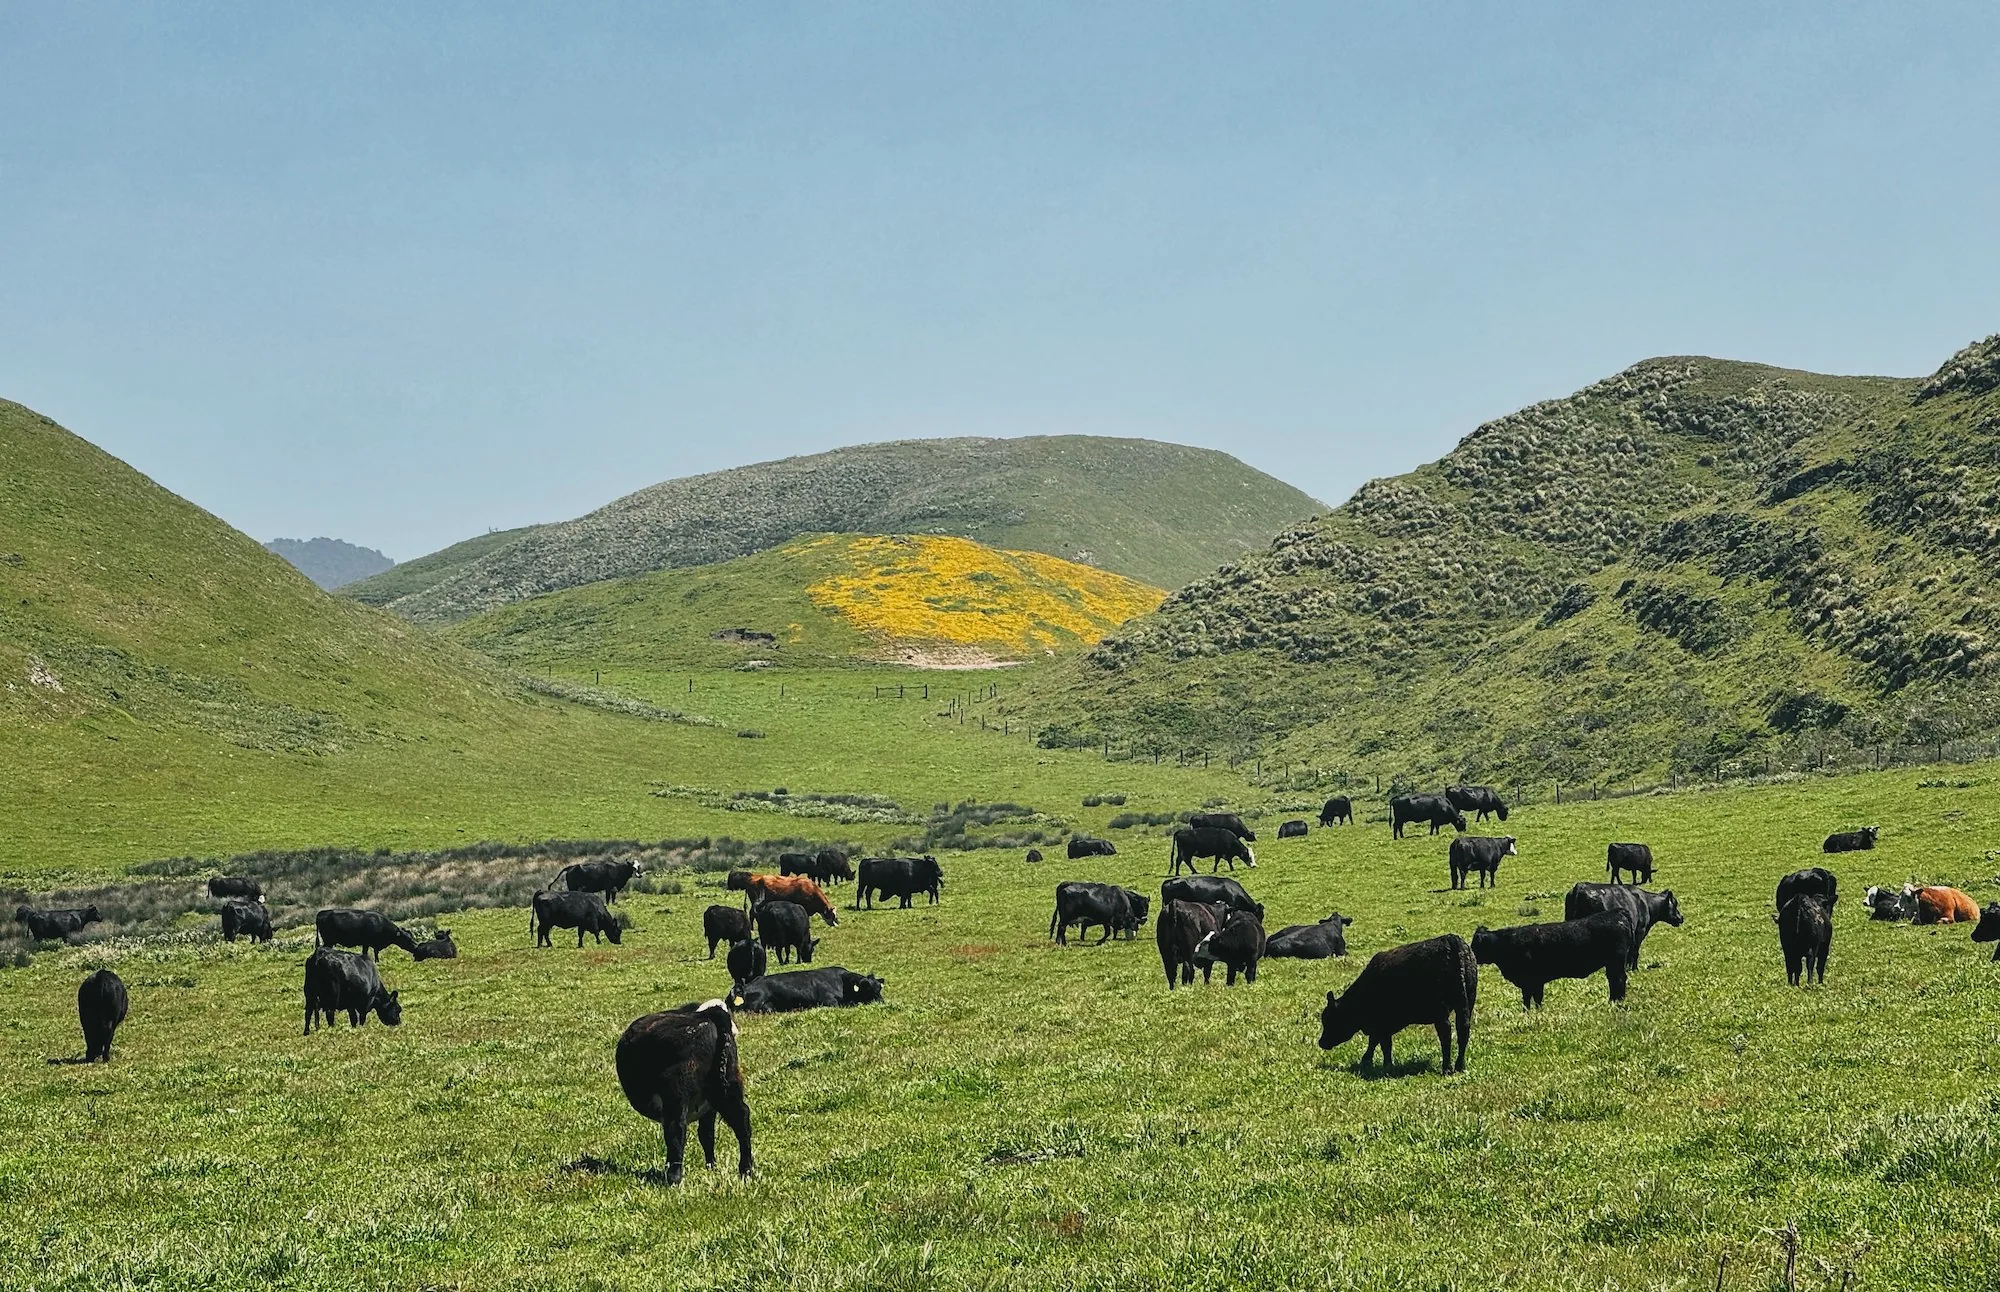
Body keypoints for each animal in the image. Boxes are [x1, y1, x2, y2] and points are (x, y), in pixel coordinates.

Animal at [615, 1001, 753, 1185]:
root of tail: (706, 1015)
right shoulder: (708, 1108)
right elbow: (707, 1135)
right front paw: (711, 1167)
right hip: (727, 1084)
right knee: (740, 1119)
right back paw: (746, 1170)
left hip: (676, 1093)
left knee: (676, 1129)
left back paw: (673, 1177)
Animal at [1318, 933, 1477, 1074]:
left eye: (1330, 1020)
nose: (1321, 1042)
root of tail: (1451, 940)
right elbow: (1379, 1042)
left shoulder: (1381, 1023)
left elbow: (1381, 1044)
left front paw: (1380, 1064)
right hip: (1467, 1001)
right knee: (1463, 1030)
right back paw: (1460, 1066)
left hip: (1440, 1011)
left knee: (1446, 1034)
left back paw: (1447, 1068)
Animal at [1472, 911, 1634, 1008]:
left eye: (1474, 945)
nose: (1471, 956)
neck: (1508, 942)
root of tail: (1617, 913)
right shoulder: (1533, 982)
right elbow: (1533, 998)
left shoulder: (1532, 980)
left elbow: (1531, 998)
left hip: (1616, 962)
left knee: (1618, 979)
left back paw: (1616, 1001)